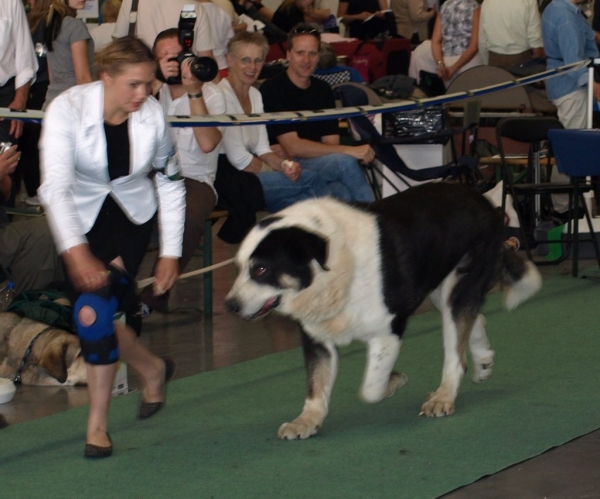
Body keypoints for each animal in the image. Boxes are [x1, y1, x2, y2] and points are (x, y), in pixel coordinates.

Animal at [226, 182, 544, 440]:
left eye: (261, 269)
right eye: (240, 267)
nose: (230, 305)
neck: (334, 267)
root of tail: (484, 200)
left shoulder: (387, 332)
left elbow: (371, 388)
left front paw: (395, 380)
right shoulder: (317, 339)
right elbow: (316, 386)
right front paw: (307, 421)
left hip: (463, 279)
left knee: (456, 349)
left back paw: (443, 396)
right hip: (441, 288)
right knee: (472, 318)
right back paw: (483, 362)